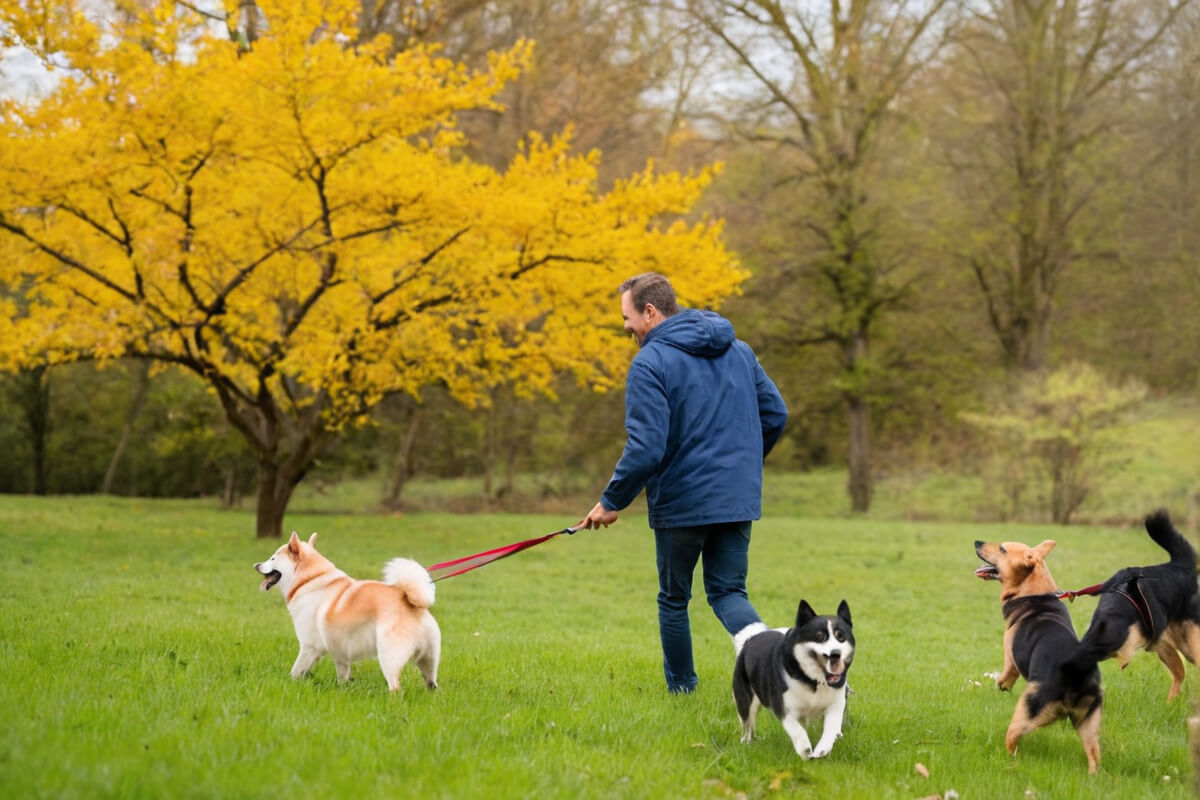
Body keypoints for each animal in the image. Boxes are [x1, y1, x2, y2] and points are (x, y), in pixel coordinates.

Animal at [254, 527, 441, 690]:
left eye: (272, 558)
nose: (256, 565)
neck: (309, 580)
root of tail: (411, 602)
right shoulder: (341, 653)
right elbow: (342, 676)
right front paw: (343, 690)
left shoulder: (309, 647)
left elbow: (295, 671)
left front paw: (287, 684)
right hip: (429, 661)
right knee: (432, 684)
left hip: (389, 657)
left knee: (395, 687)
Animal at [729, 604, 854, 762]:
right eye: (819, 637)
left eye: (840, 637)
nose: (836, 653)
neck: (814, 681)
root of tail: (750, 639)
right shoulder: (785, 707)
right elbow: (796, 730)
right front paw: (805, 750)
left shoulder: (836, 703)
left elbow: (831, 727)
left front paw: (822, 750)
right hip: (745, 698)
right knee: (747, 723)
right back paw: (747, 742)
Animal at [974, 537, 1099, 777]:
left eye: (1002, 549)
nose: (977, 542)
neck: (1034, 593)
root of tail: (1074, 678)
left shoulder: (1010, 659)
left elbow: (1005, 677)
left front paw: (1000, 685)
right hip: (1089, 723)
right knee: (1094, 755)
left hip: (1025, 712)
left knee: (1012, 739)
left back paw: (1009, 759)